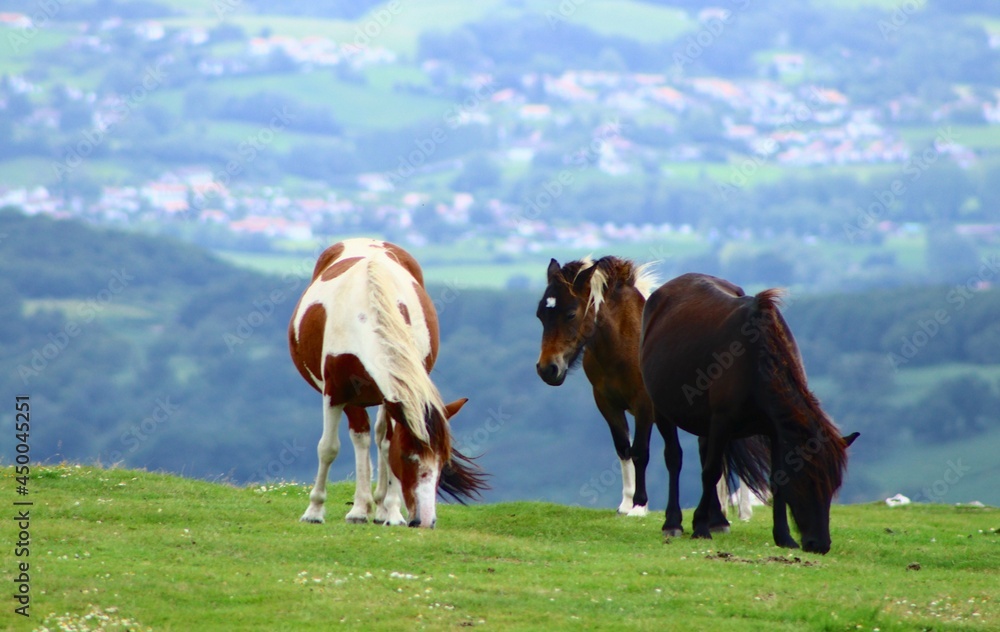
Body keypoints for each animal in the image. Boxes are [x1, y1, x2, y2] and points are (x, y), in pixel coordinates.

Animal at [288, 238, 487, 528]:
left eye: (443, 462)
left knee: (379, 437)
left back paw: (378, 508)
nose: (425, 521)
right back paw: (360, 509)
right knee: (360, 437)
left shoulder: (394, 396)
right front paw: (314, 511)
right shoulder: (335, 393)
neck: (368, 314)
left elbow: (387, 444)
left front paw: (392, 513)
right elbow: (328, 448)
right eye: (407, 457)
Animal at [639, 272, 858, 554]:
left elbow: (776, 479)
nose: (819, 544)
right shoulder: (721, 422)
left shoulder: (775, 431)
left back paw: (717, 520)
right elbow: (710, 471)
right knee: (674, 458)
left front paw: (783, 537)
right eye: (807, 481)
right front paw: (699, 528)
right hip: (662, 410)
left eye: (834, 486)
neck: (754, 362)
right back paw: (673, 523)